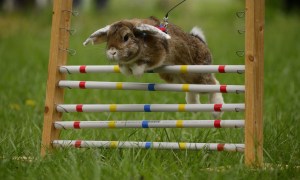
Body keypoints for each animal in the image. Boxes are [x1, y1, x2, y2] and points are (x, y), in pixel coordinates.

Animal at [83, 16, 224, 118]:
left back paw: (217, 111)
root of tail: (201, 43)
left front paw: (136, 72)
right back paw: (193, 107)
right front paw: (126, 70)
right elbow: (124, 66)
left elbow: (141, 64)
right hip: (178, 78)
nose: (112, 52)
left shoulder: (157, 56)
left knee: (214, 84)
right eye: (108, 39)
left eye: (126, 37)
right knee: (192, 90)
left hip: (197, 75)